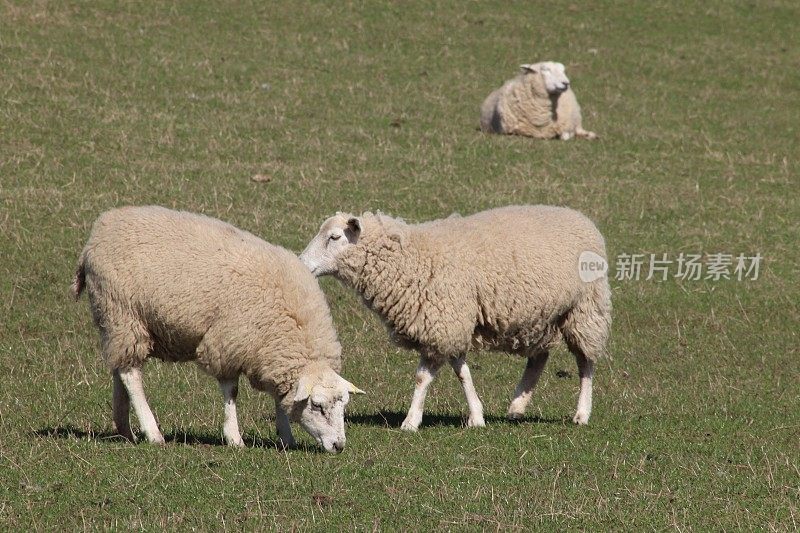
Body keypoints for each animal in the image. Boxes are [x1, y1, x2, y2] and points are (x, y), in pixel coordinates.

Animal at [72, 206, 366, 450]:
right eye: (317, 406)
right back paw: (152, 432)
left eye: (344, 406)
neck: (290, 319)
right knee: (131, 375)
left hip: (116, 322)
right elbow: (231, 391)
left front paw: (286, 437)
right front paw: (234, 438)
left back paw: (125, 430)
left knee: (119, 368)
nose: (339, 446)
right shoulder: (228, 342)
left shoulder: (267, 351)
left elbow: (278, 396)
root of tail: (98, 232)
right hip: (123, 313)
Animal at [302, 206, 612, 430]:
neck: (410, 259)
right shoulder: (450, 322)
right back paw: (517, 406)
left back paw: (581, 413)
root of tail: (583, 219)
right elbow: (462, 371)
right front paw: (476, 416)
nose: (302, 264)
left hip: (585, 308)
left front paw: (410, 421)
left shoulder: (442, 321)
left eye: (334, 237)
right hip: (541, 316)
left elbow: (422, 378)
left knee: (585, 362)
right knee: (539, 358)